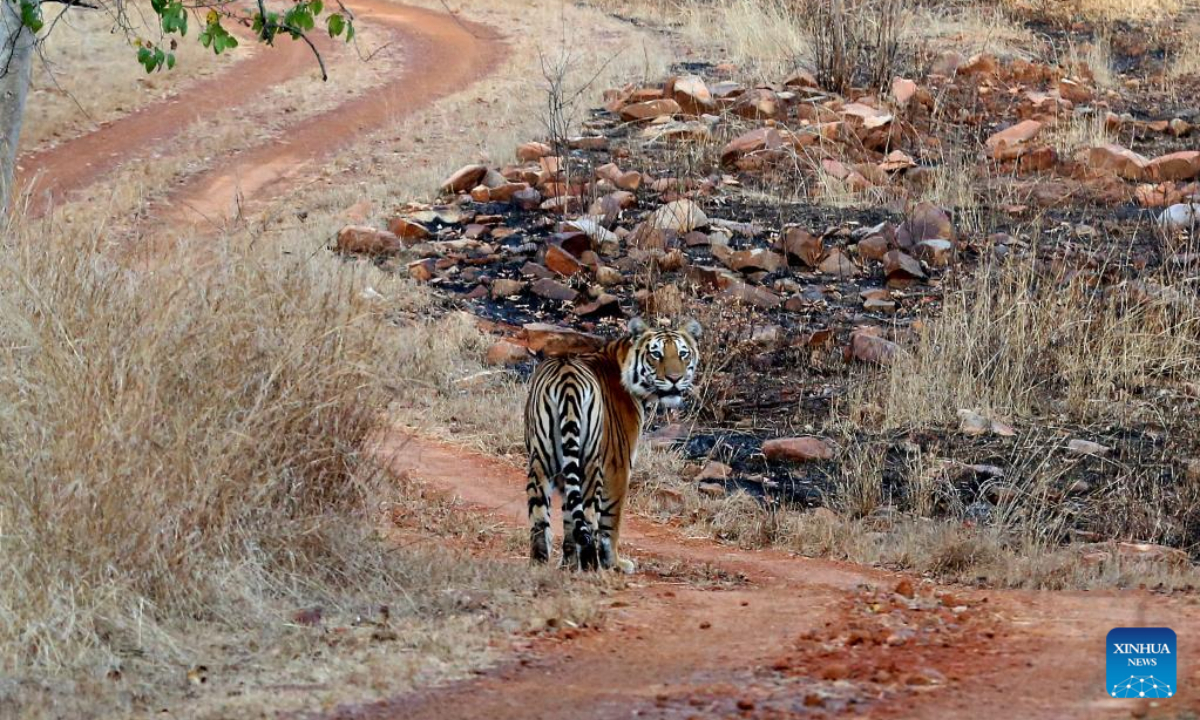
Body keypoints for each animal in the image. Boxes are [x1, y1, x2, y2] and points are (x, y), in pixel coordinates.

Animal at [525, 316, 700, 571]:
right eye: (656, 354)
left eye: (683, 354)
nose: (675, 379)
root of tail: (567, 378)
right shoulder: (619, 466)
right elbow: (611, 521)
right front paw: (614, 563)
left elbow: (568, 519)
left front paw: (568, 565)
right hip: (589, 463)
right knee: (589, 518)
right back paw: (592, 566)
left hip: (541, 461)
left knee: (540, 519)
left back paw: (539, 564)